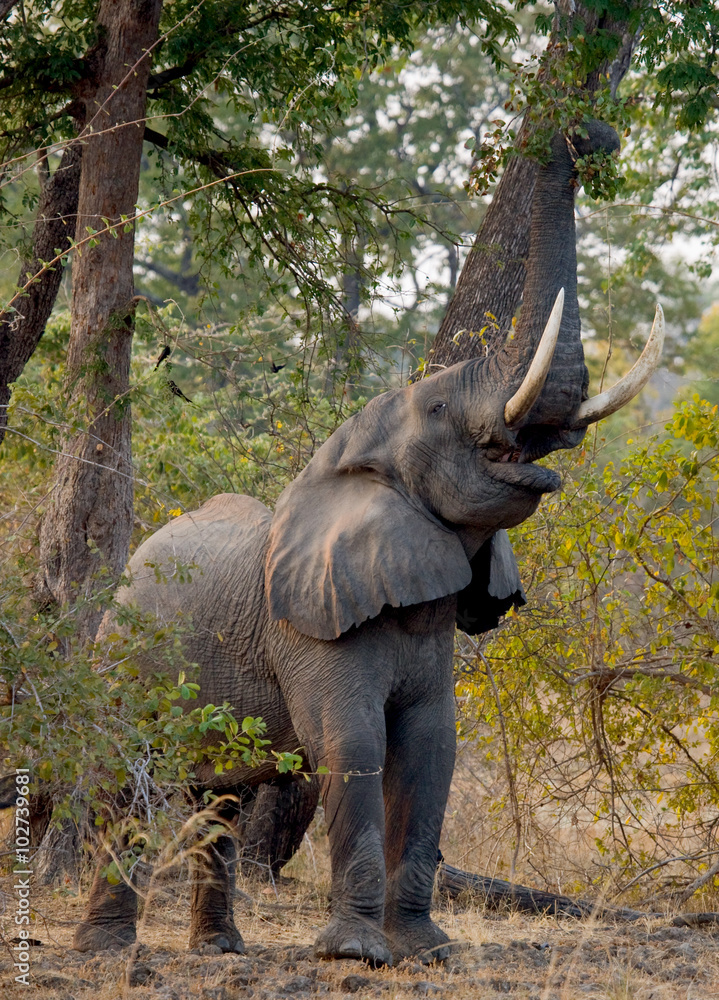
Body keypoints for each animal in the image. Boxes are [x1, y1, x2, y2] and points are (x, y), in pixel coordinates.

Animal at [72, 120, 663, 965]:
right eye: (442, 407)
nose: (589, 135)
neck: (351, 457)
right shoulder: (307, 628)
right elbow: (351, 745)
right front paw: (355, 954)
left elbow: (431, 750)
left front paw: (425, 951)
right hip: (123, 651)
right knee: (126, 774)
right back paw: (105, 953)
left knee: (221, 796)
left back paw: (221, 952)